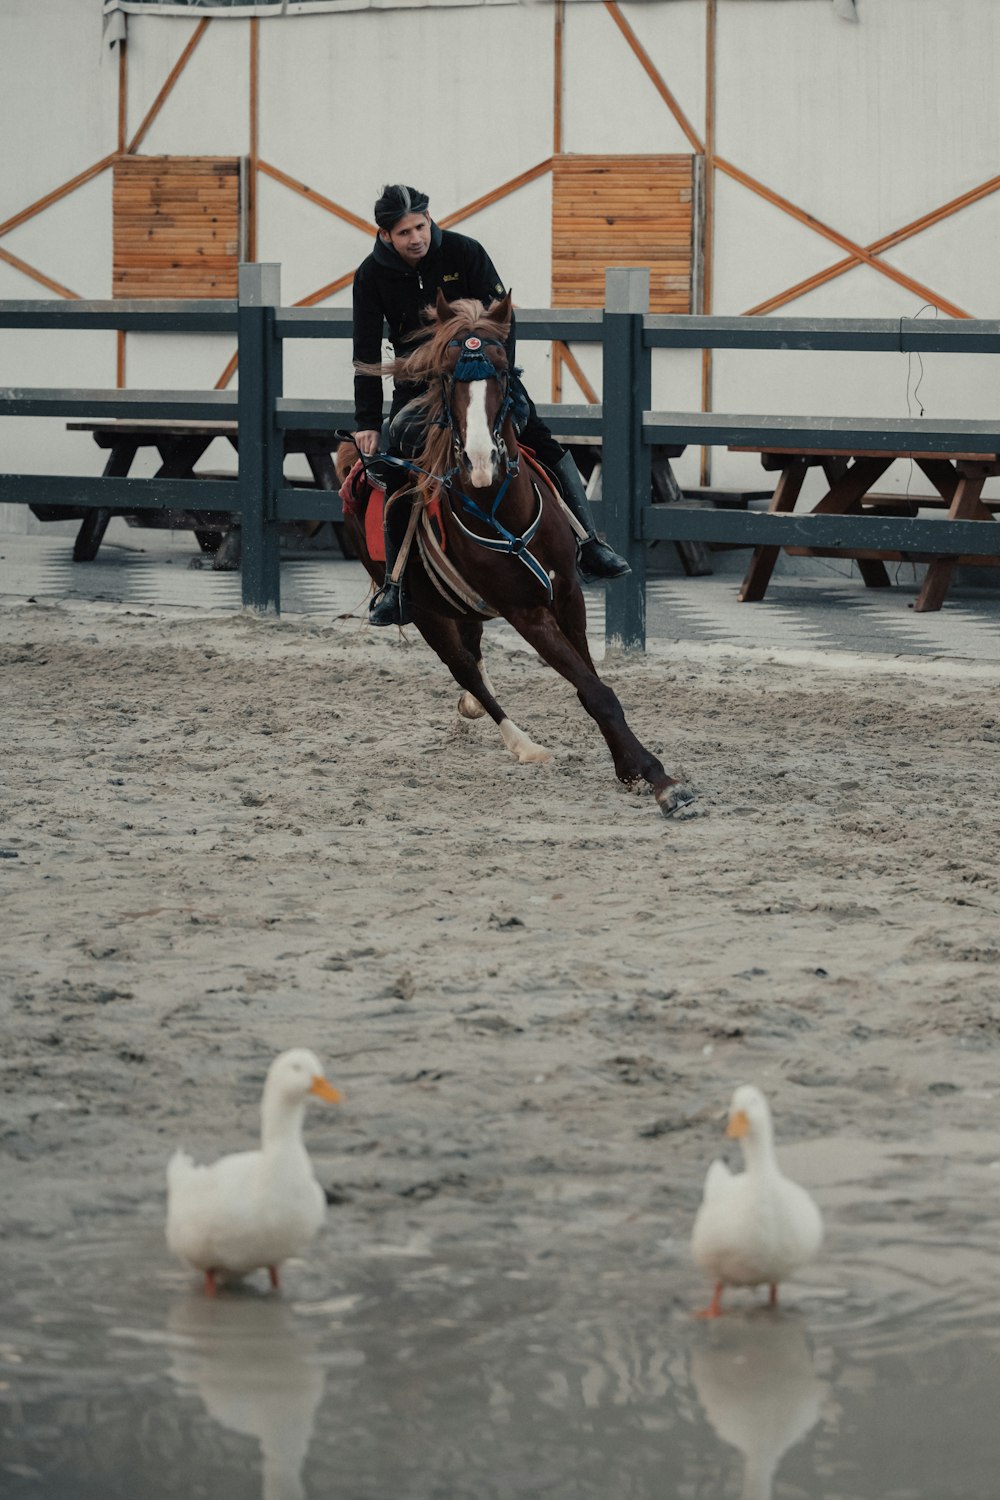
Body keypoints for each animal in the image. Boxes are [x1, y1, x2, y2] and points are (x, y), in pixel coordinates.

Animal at [340, 286, 692, 816]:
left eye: (504, 371)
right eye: (447, 374)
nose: (481, 460)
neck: (499, 509)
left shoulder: (567, 596)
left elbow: (591, 684)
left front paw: (629, 767)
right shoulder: (525, 612)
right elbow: (595, 691)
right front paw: (657, 778)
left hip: (462, 605)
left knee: (472, 653)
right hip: (423, 611)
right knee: (466, 671)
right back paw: (523, 744)